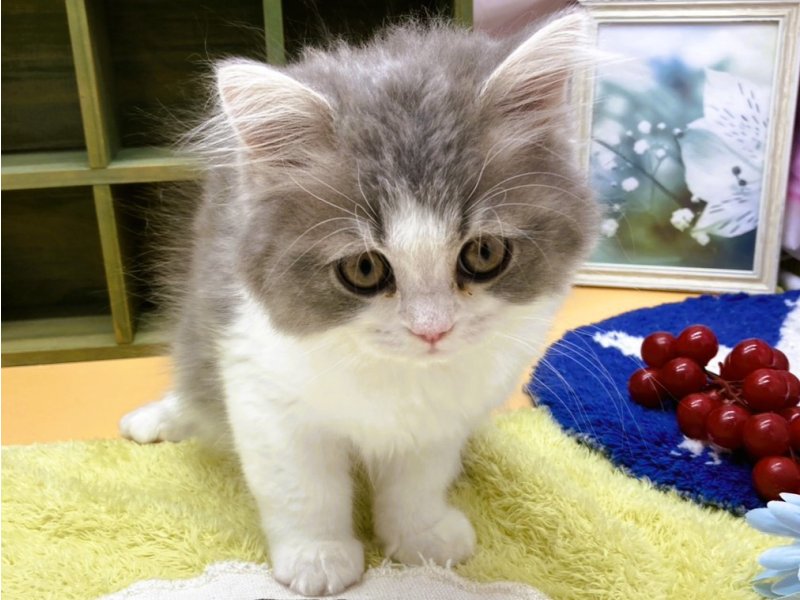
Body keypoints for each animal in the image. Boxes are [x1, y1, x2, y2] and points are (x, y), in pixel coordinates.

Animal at [120, 10, 599, 597]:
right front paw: (318, 558)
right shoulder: (261, 385)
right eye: (365, 270)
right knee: (195, 384)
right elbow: (303, 489)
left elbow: (417, 482)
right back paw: (160, 418)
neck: (399, 376)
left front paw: (421, 538)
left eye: (483, 253)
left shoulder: (441, 418)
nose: (432, 329)